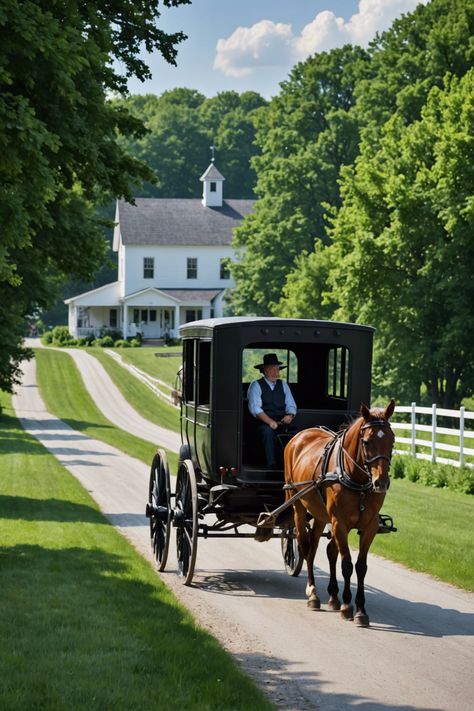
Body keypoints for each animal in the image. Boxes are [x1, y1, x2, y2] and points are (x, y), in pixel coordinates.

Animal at [284, 400, 394, 628]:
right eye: (367, 442)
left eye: (392, 440)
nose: (381, 482)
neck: (357, 480)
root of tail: (300, 436)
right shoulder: (339, 524)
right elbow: (347, 564)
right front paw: (347, 606)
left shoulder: (369, 527)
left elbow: (360, 566)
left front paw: (360, 610)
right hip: (298, 505)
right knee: (305, 546)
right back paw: (313, 593)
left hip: (320, 515)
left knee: (319, 548)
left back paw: (332, 597)